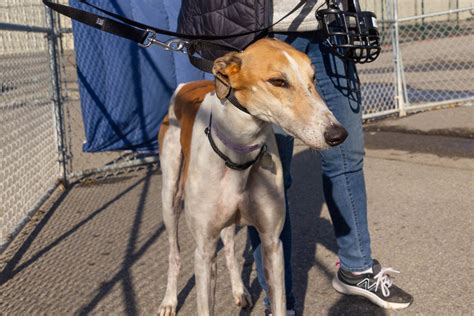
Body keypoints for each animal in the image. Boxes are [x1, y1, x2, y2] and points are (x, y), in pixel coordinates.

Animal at [157, 38, 346, 314]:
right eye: (278, 81)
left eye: (313, 77)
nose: (338, 134)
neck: (240, 151)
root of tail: (186, 85)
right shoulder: (204, 251)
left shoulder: (272, 243)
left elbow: (278, 302)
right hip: (170, 196)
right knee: (174, 253)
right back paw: (169, 300)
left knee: (229, 247)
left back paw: (239, 290)